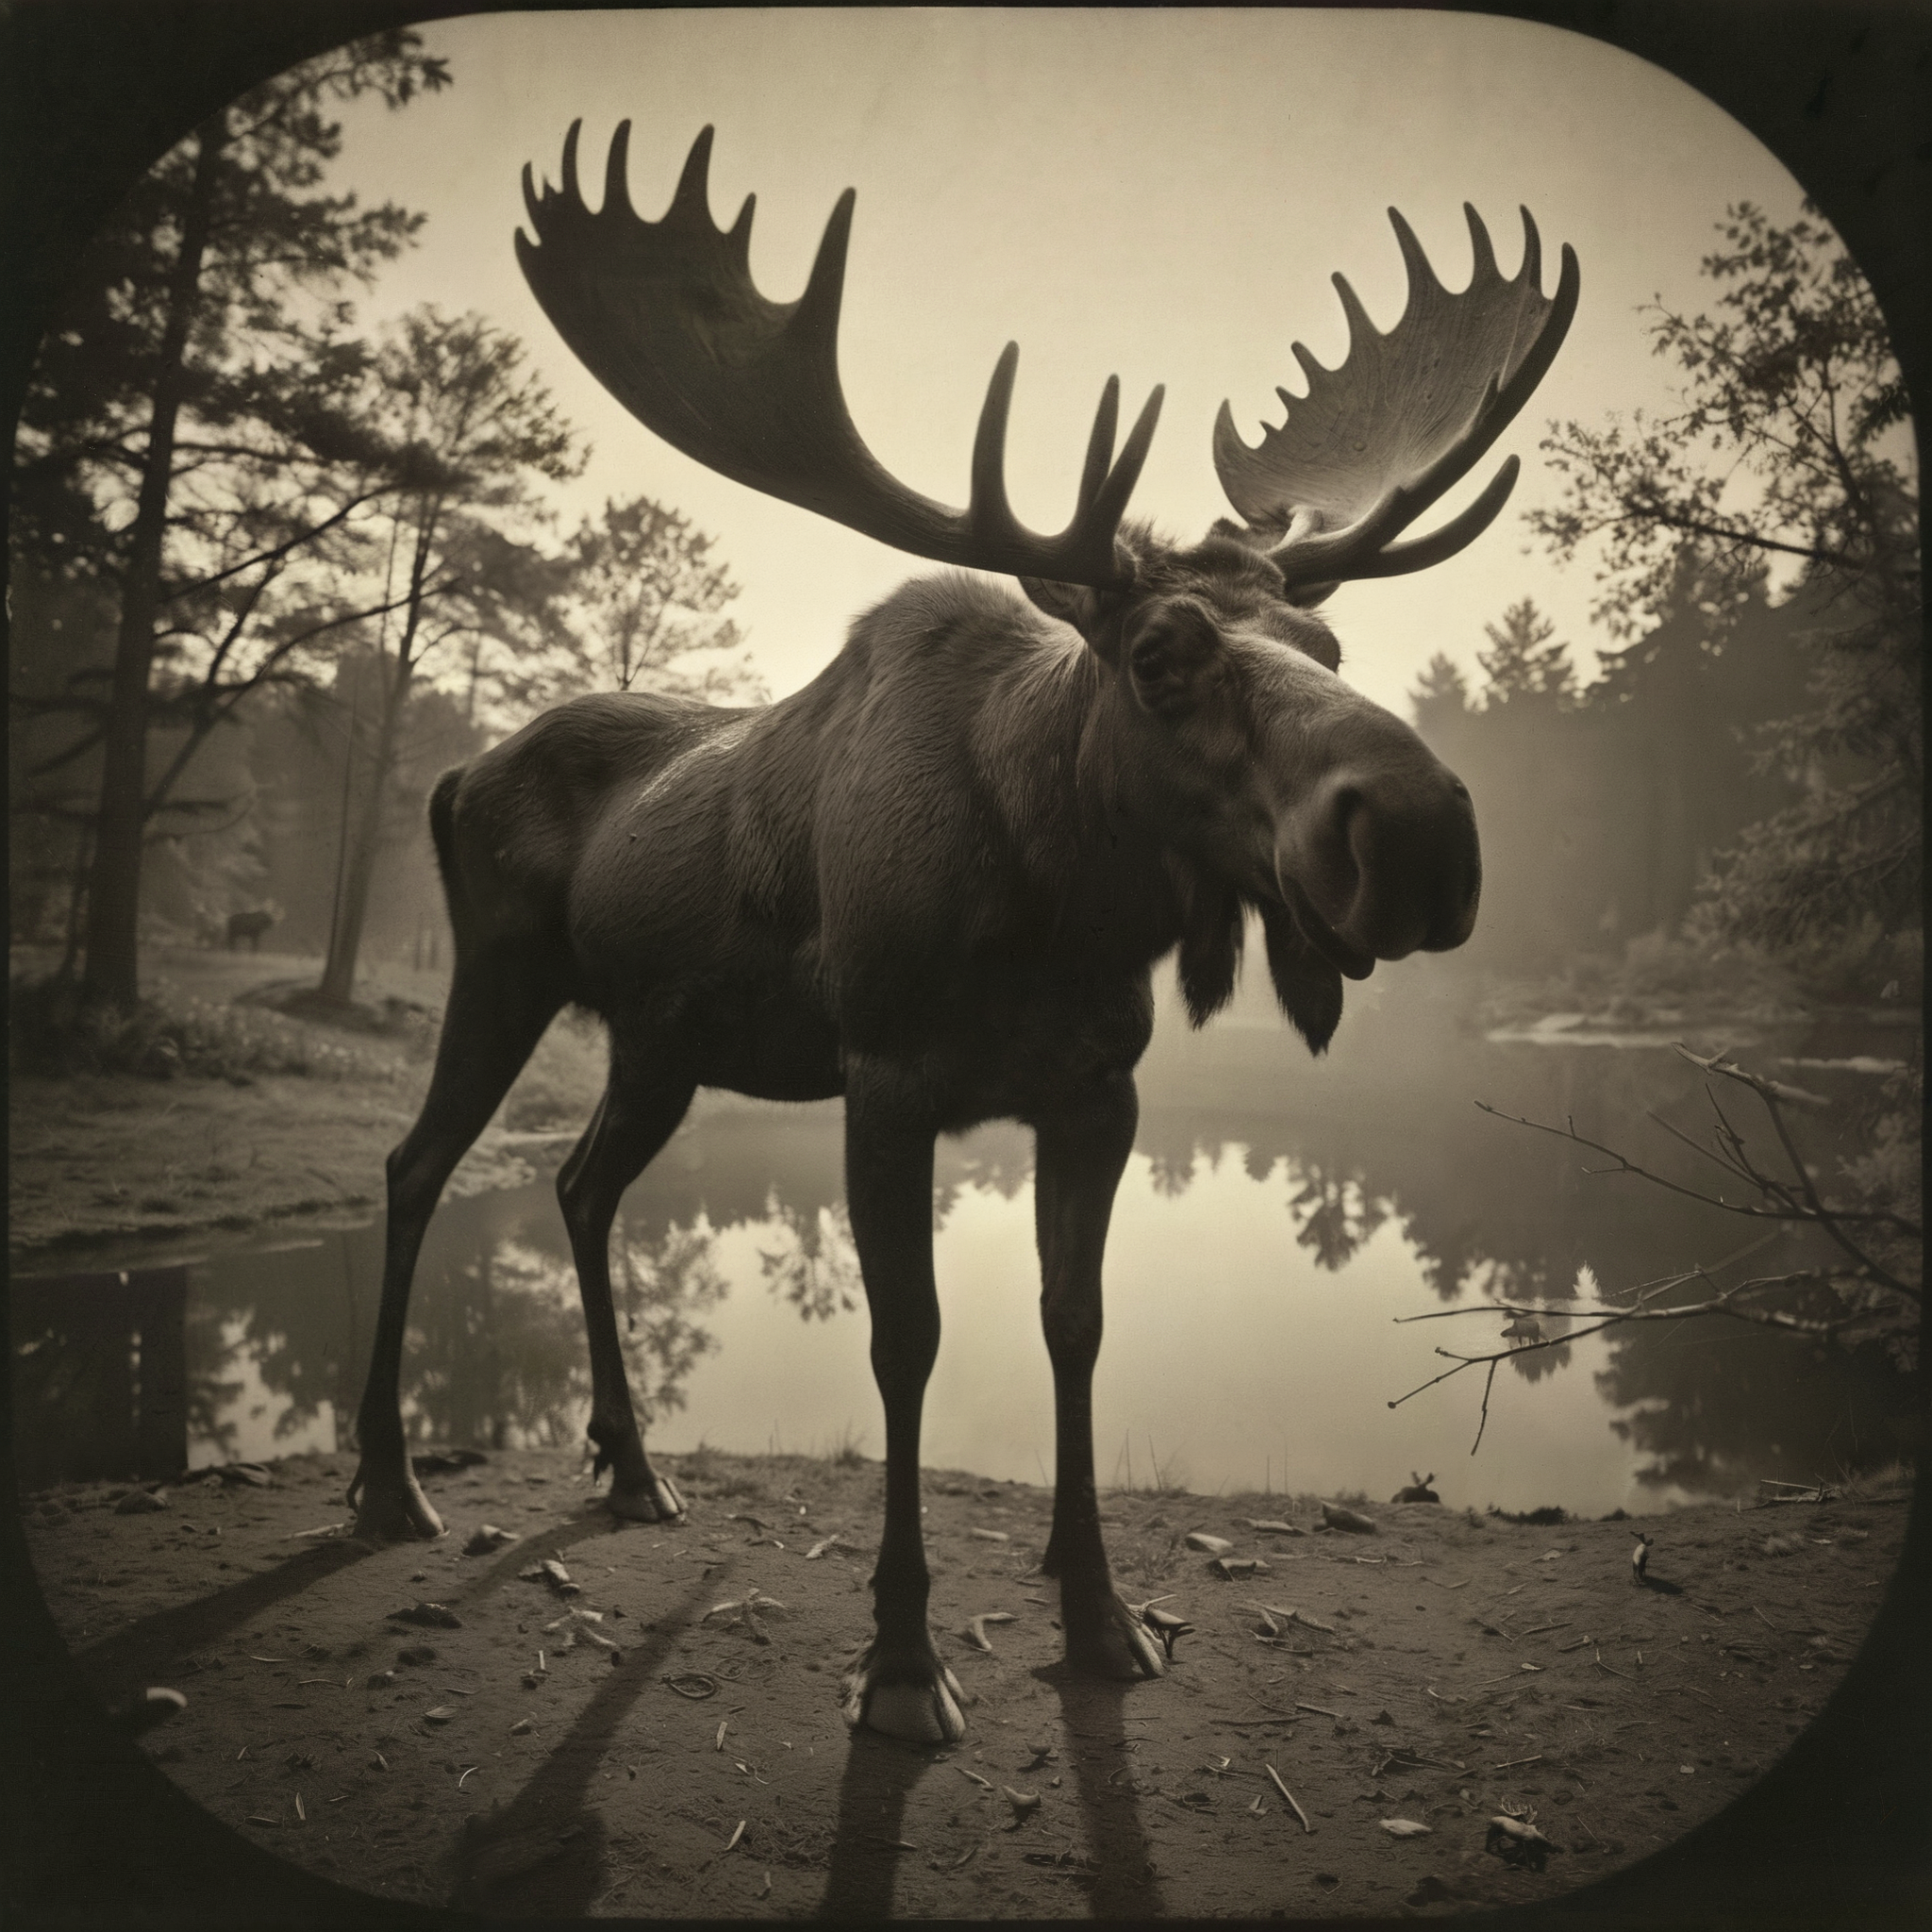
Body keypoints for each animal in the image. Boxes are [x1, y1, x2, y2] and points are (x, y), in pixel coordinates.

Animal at [342, 123, 1577, 1745]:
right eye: (1161, 654)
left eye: (1328, 642)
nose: (1425, 834)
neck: (1054, 907)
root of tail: (448, 778)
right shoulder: (887, 1077)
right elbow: (906, 1344)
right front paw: (900, 1659)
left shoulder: (1097, 1091)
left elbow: (1075, 1322)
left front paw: (1103, 1614)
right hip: (500, 976)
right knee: (419, 1164)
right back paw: (387, 1483)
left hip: (659, 1041)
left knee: (578, 1184)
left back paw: (632, 1464)